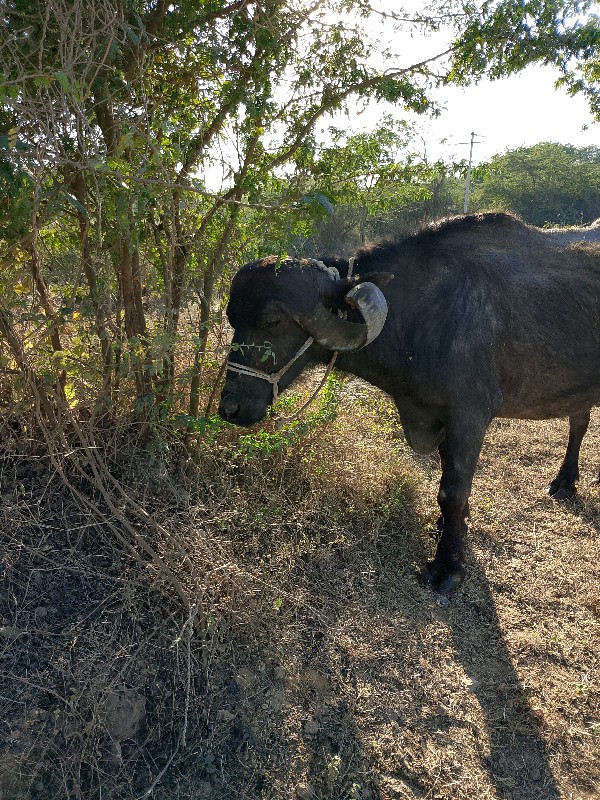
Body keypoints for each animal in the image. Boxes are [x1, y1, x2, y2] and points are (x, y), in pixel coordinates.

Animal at [219, 212, 600, 592]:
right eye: (233, 319)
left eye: (272, 321)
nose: (229, 409)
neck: (422, 314)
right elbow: (448, 481)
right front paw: (453, 527)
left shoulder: (469, 416)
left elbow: (452, 491)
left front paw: (448, 565)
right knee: (579, 421)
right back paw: (566, 481)